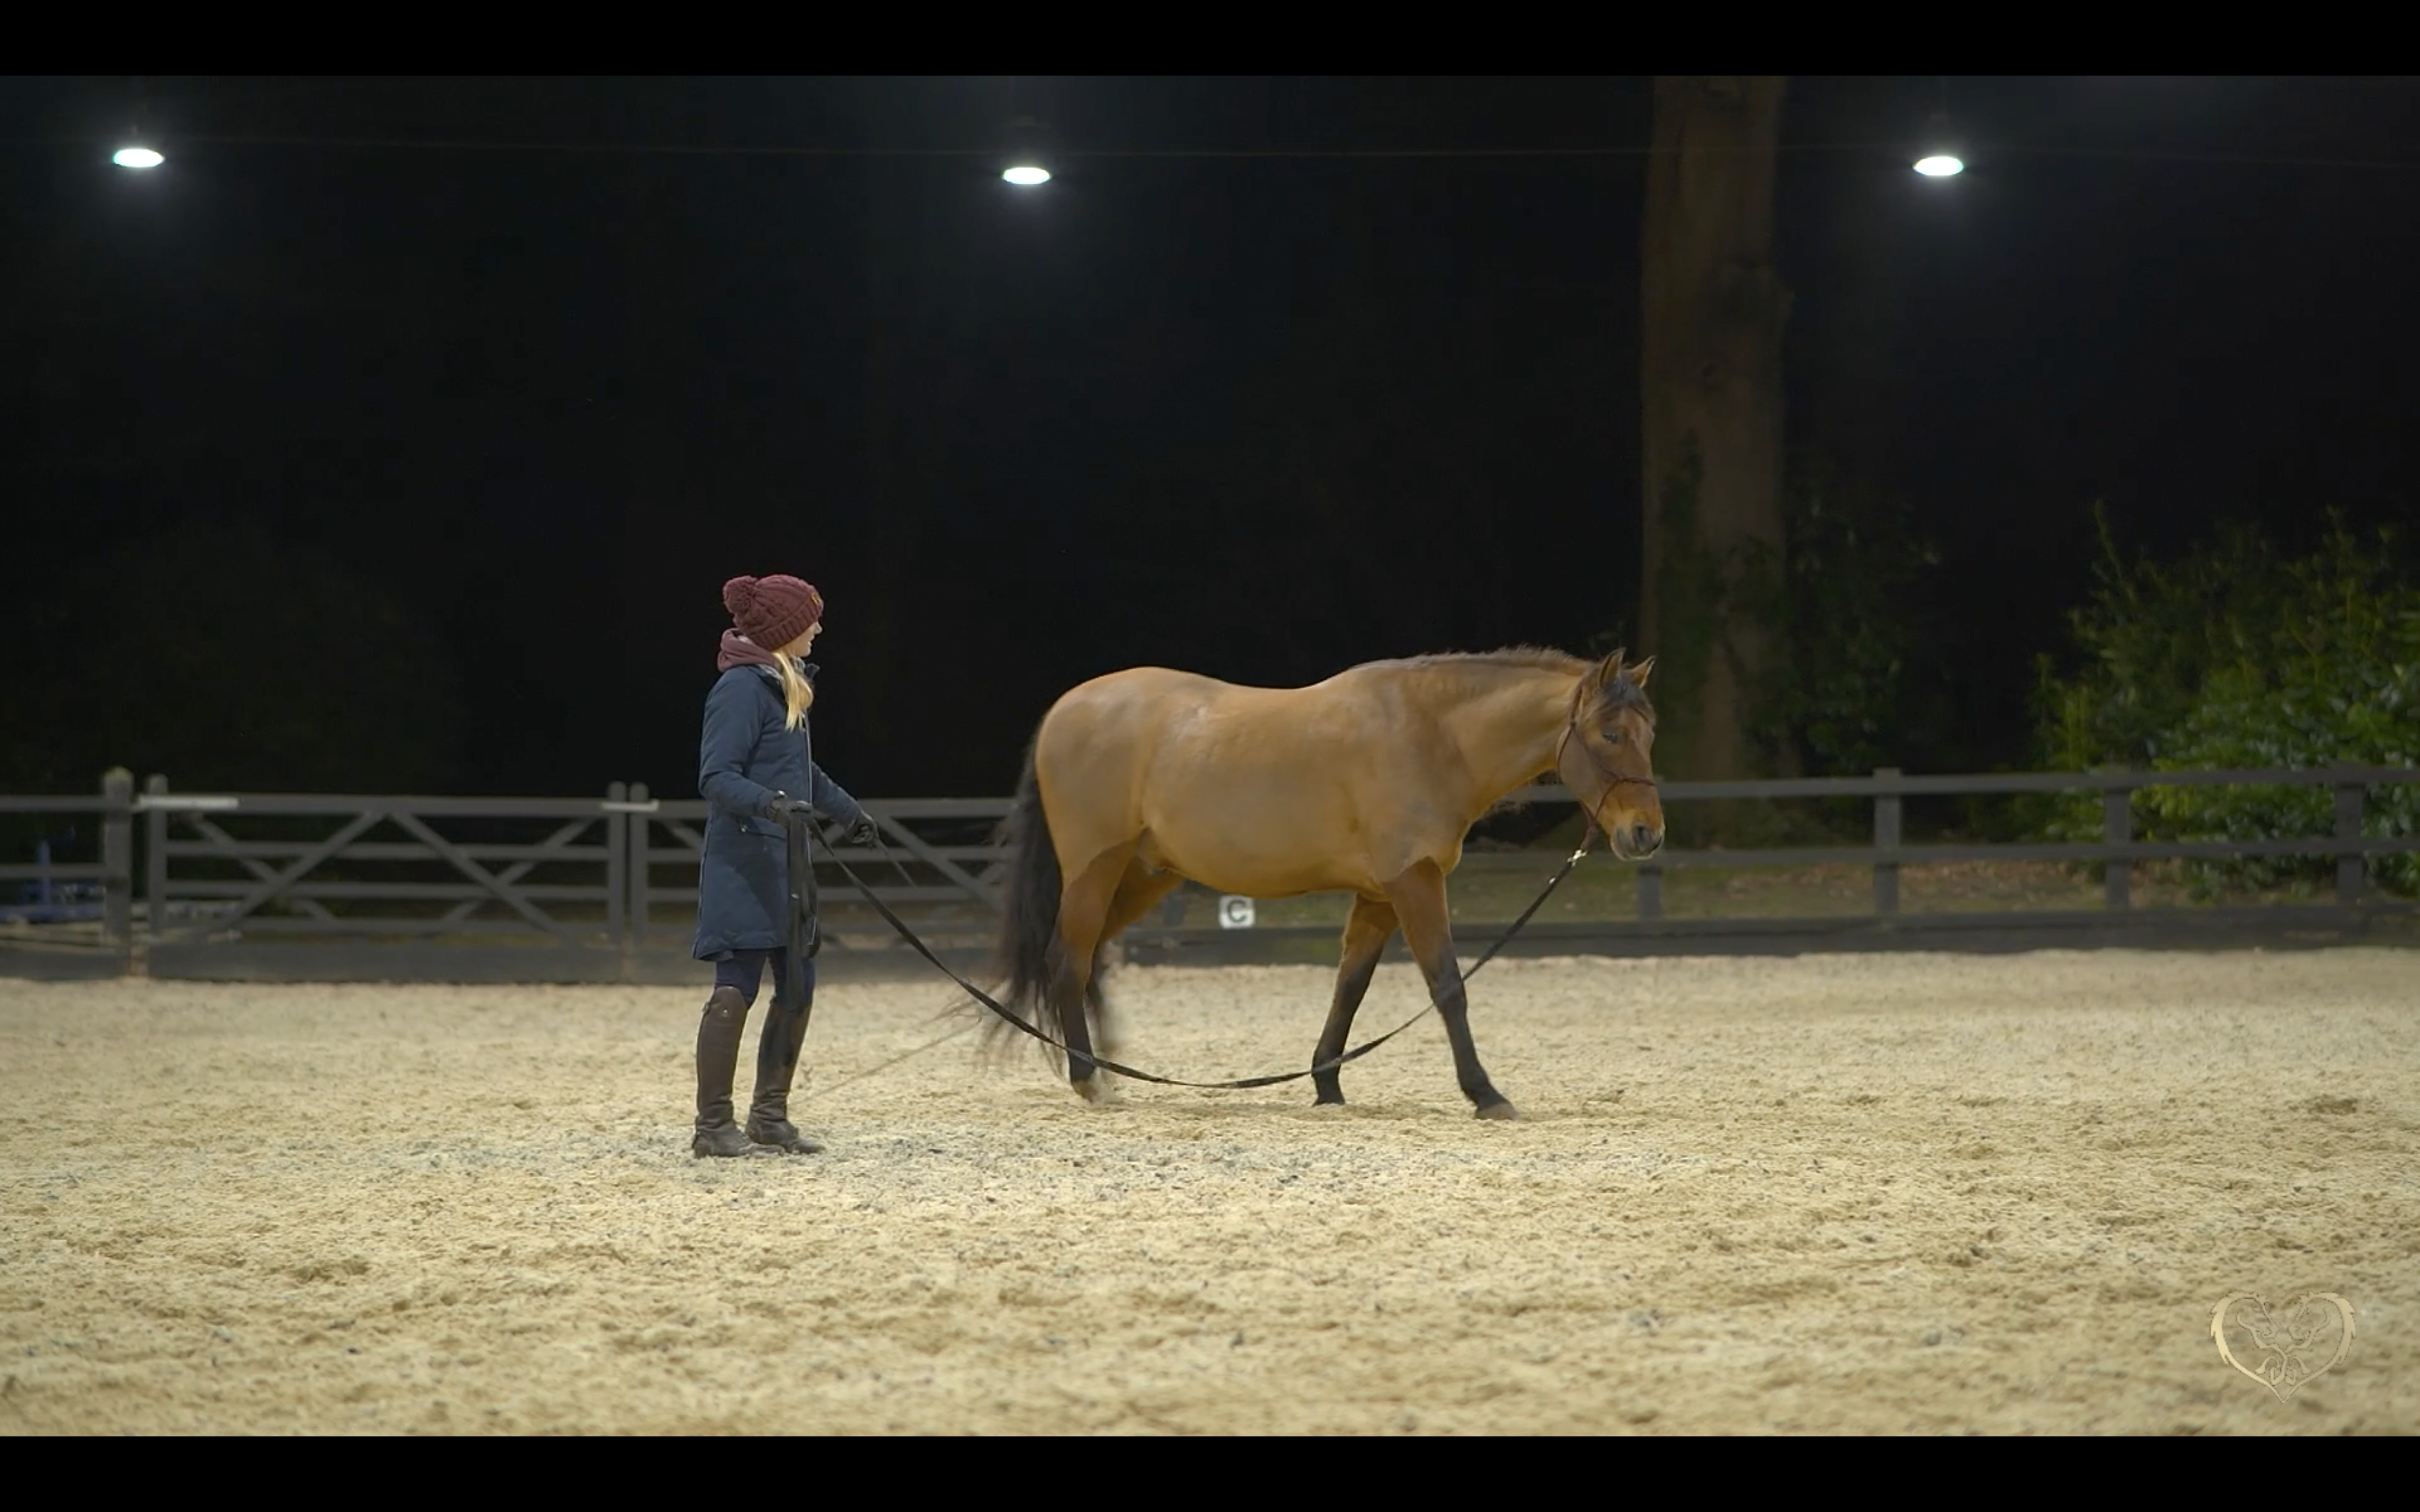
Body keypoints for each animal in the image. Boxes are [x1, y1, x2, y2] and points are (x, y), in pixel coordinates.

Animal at [988, 645, 1664, 1119]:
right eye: (1610, 735)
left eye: (1649, 734)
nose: (1646, 835)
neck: (1432, 735)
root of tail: (1066, 709)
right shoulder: (1415, 883)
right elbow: (1448, 985)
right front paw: (1485, 1093)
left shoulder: (1379, 895)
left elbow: (1349, 989)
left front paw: (1327, 1084)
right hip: (1095, 870)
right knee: (1069, 958)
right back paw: (1088, 1079)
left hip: (1142, 877)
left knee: (1090, 959)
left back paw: (1104, 1069)